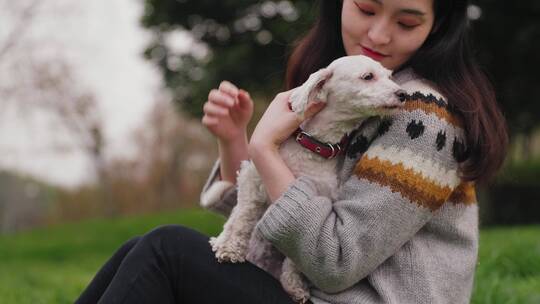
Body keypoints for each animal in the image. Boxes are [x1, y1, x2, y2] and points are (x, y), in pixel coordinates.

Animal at [206, 55, 404, 302]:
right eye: (368, 76)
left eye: (389, 76)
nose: (402, 94)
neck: (313, 146)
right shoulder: (252, 180)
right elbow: (242, 218)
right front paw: (230, 248)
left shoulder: (319, 199)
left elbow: (298, 255)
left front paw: (294, 286)